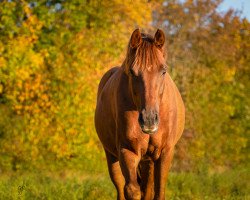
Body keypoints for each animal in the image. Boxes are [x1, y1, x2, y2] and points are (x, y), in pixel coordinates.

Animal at [94, 28, 185, 200]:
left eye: (163, 70)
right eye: (132, 71)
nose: (149, 120)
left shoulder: (165, 152)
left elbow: (158, 192)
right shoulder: (127, 151)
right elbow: (132, 190)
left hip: (148, 160)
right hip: (112, 156)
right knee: (121, 188)